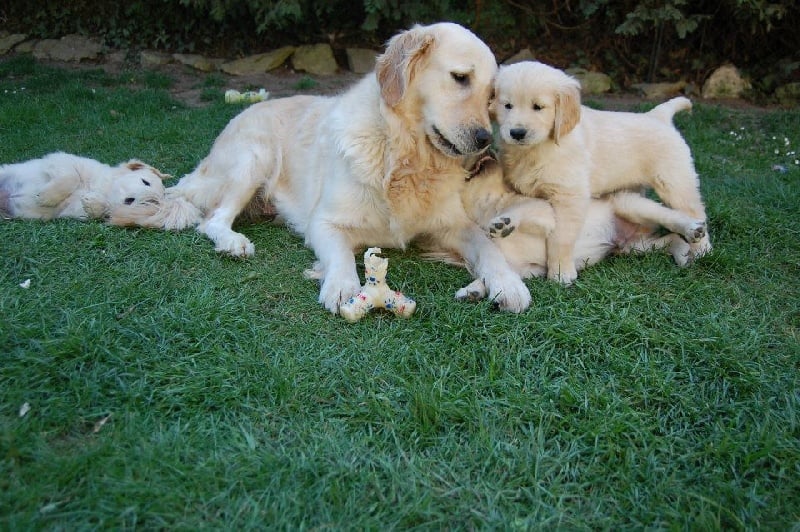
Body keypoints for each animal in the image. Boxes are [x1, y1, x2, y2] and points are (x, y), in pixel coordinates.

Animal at [0, 152, 169, 224]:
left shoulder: (72, 210)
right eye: (145, 182)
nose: (149, 198)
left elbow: (99, 210)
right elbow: (72, 177)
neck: (100, 187)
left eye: (151, 202)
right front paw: (46, 197)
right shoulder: (61, 159)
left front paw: (93, 201)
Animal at [122, 25, 528, 314]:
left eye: (492, 96)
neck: (403, 157)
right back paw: (234, 242)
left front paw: (508, 283)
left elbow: (486, 244)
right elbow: (341, 255)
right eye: (460, 77)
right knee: (212, 219)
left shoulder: (451, 224)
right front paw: (343, 286)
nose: (484, 140)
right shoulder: (325, 220)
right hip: (254, 156)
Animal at [494, 60, 712, 284]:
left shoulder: (569, 197)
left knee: (694, 212)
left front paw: (561, 272)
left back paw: (701, 248)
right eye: (507, 105)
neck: (537, 149)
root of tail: (657, 116)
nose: (516, 133)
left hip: (675, 182)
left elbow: (561, 238)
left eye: (538, 107)